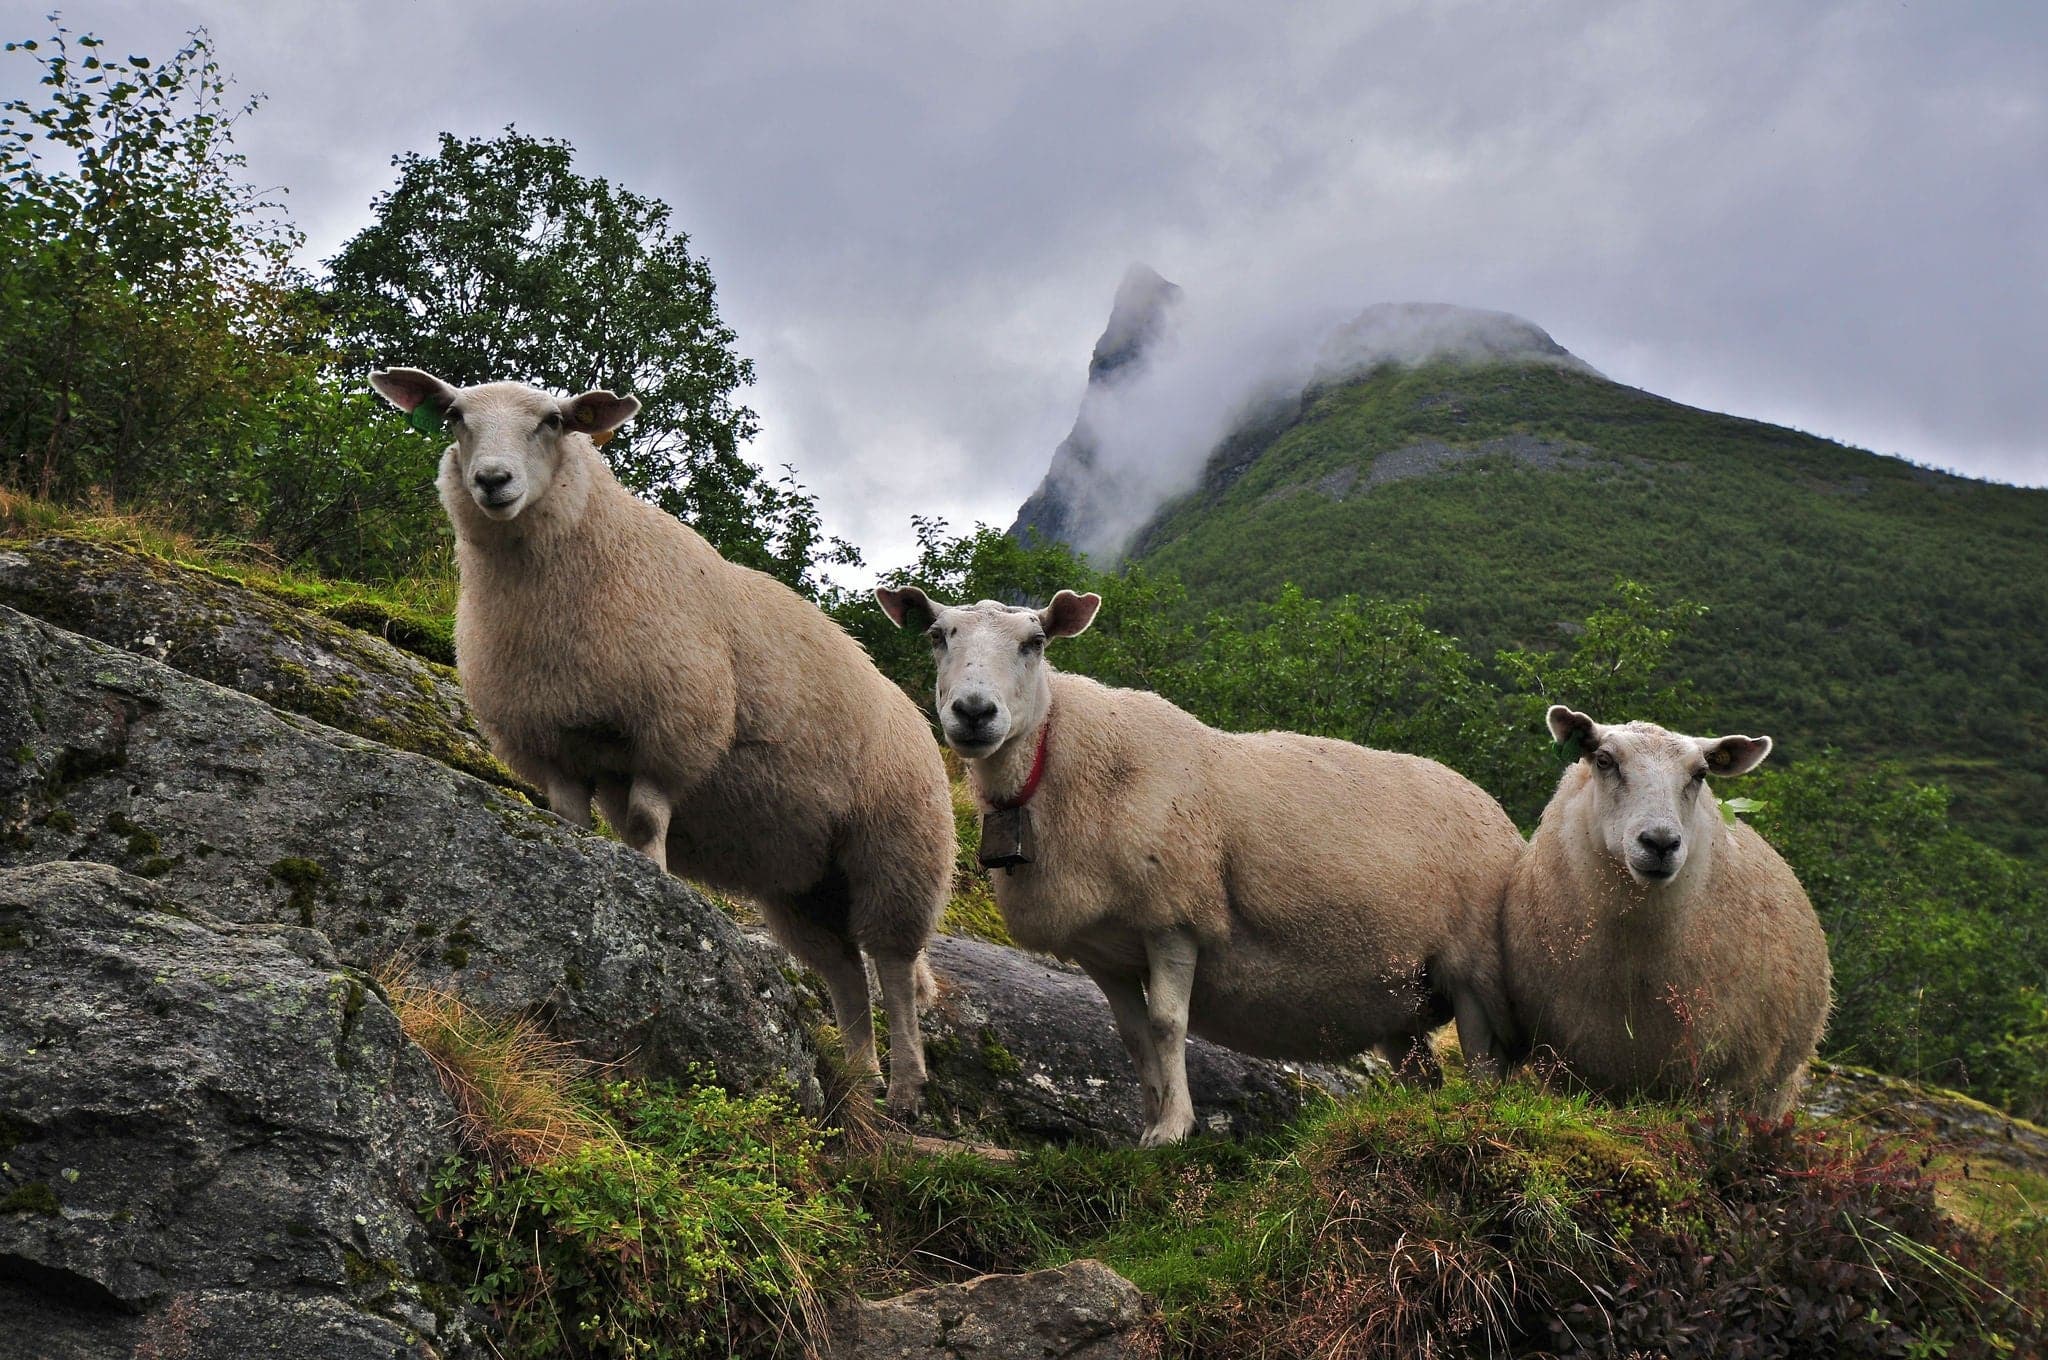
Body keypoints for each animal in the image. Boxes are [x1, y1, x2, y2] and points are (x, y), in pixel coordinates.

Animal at [368, 368, 954, 1116]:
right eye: (454, 417)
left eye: (553, 422)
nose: (492, 481)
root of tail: (917, 716)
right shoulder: (555, 743)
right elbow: (570, 822)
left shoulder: (670, 731)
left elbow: (647, 824)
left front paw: (657, 893)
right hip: (804, 878)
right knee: (845, 970)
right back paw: (859, 1079)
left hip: (900, 849)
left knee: (895, 967)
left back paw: (906, 1088)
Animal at [875, 585, 1524, 1145]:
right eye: (937, 635)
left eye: (1034, 642)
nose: (974, 712)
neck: (1057, 762)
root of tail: (1494, 808)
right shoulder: (1102, 946)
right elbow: (1134, 1036)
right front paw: (1147, 1124)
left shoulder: (1175, 915)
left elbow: (1168, 1023)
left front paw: (1174, 1127)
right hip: (1401, 999)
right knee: (1425, 1074)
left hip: (1472, 966)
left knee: (1483, 1061)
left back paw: (1476, 1111)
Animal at [1501, 706, 1831, 1117]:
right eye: (1604, 760)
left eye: (1700, 774)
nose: (1660, 843)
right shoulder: (1567, 1067)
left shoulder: (1720, 1077)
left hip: (1774, 1083)